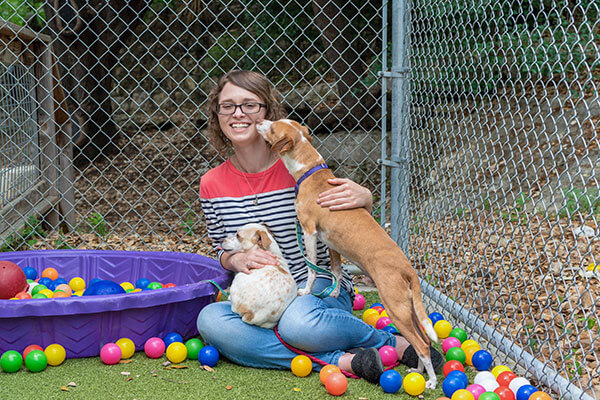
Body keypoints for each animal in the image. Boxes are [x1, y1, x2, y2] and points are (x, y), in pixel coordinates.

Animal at [258, 119, 440, 388]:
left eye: (272, 128)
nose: (259, 122)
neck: (311, 171)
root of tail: (408, 268)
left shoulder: (309, 231)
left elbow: (311, 267)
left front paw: (306, 290)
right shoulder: (331, 242)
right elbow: (334, 270)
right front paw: (333, 293)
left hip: (395, 307)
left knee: (422, 344)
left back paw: (431, 382)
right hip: (409, 309)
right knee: (423, 340)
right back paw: (417, 371)